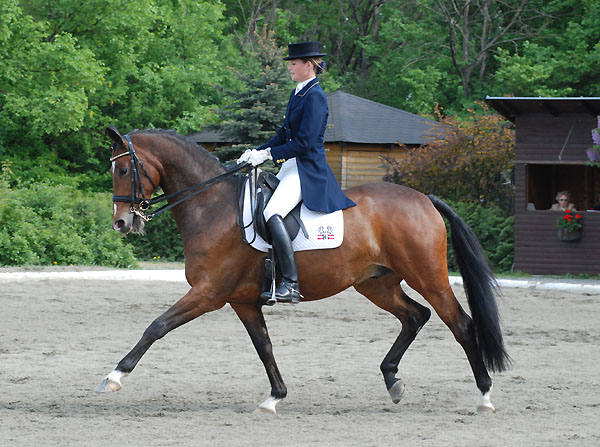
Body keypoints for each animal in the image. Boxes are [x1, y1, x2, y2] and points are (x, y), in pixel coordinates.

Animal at [96, 126, 508, 412]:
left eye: (123, 170)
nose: (121, 223)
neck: (211, 206)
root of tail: (424, 199)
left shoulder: (208, 293)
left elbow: (157, 326)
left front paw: (113, 377)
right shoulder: (242, 300)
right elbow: (263, 345)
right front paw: (274, 397)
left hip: (429, 277)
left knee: (460, 325)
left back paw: (484, 397)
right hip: (376, 284)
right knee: (415, 316)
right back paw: (393, 380)